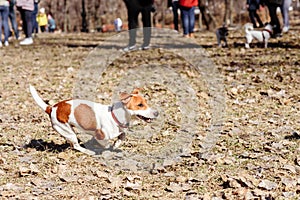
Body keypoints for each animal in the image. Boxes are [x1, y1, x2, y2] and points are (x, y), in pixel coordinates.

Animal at [29, 85, 158, 155]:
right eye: (140, 105)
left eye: (146, 103)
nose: (157, 113)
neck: (114, 115)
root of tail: (51, 108)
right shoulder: (100, 135)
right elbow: (105, 143)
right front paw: (105, 148)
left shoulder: (120, 130)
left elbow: (122, 136)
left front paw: (116, 144)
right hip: (67, 130)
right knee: (76, 145)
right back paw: (89, 152)